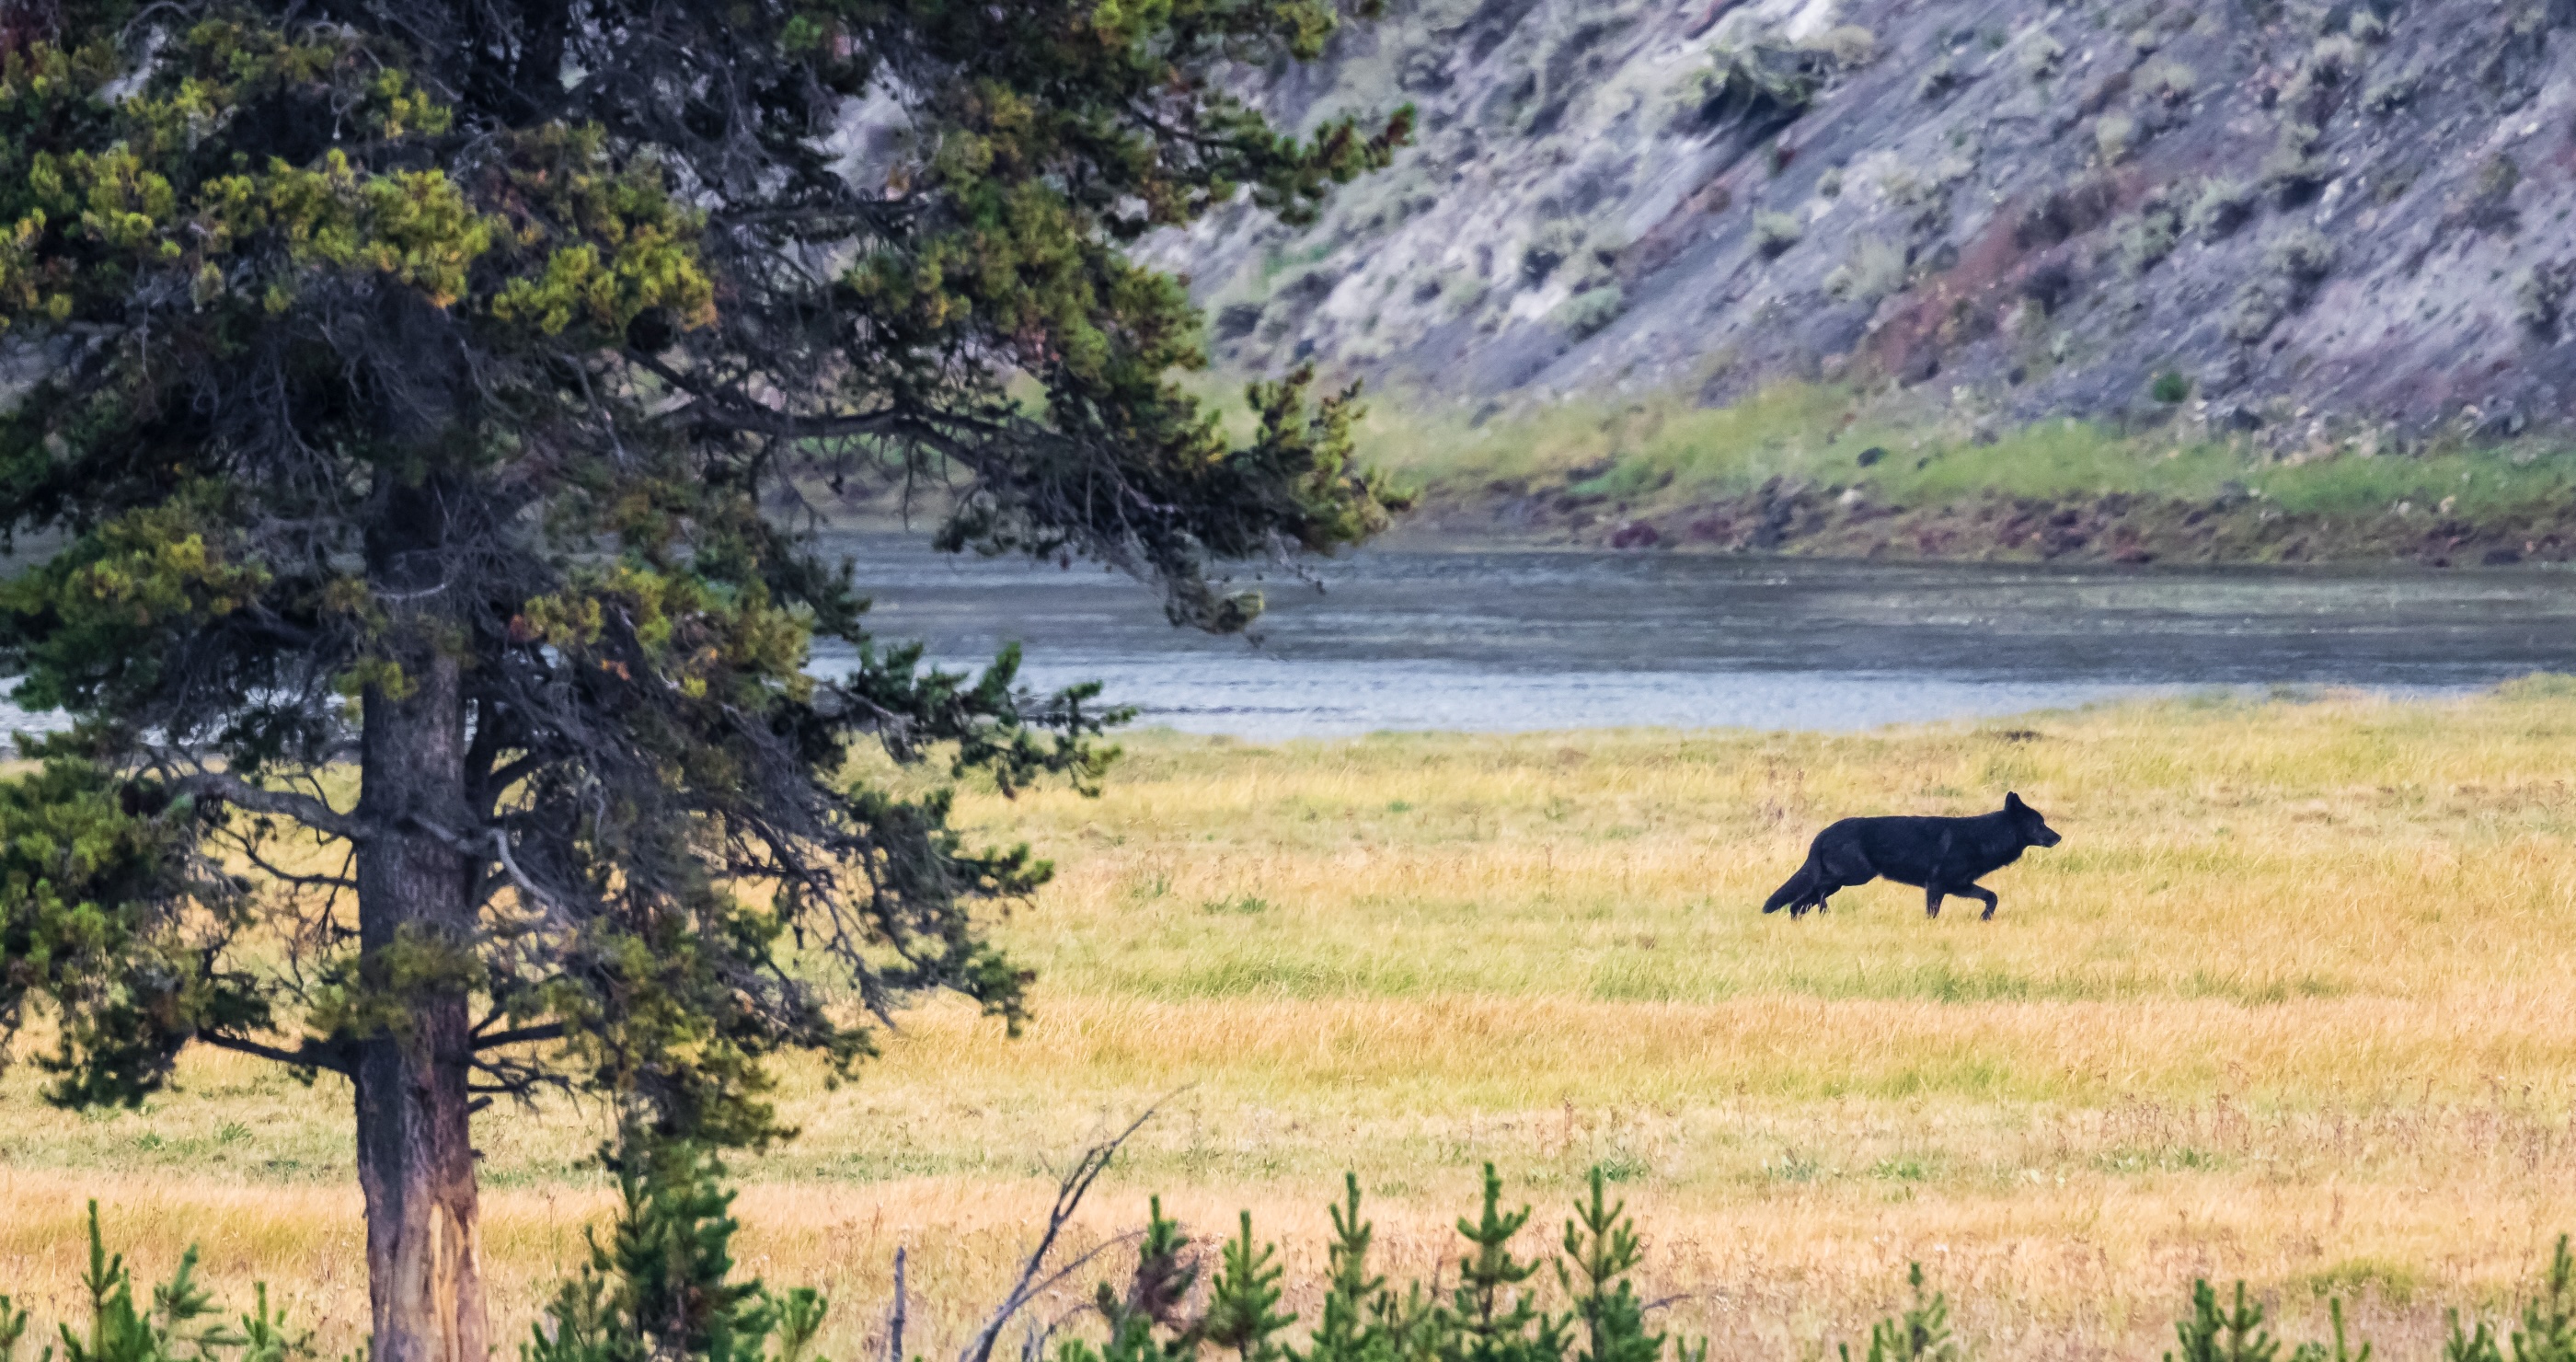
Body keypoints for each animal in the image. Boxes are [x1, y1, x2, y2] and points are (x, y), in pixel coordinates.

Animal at [1762, 792, 2062, 920]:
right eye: (2040, 824)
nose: (2058, 837)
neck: (1985, 836)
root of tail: (1823, 833)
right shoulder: (1938, 886)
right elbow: (1933, 913)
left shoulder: (1958, 886)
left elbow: (1992, 897)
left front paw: (1985, 918)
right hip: (1855, 876)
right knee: (1815, 891)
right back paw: (1822, 910)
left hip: (1845, 881)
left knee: (1798, 904)